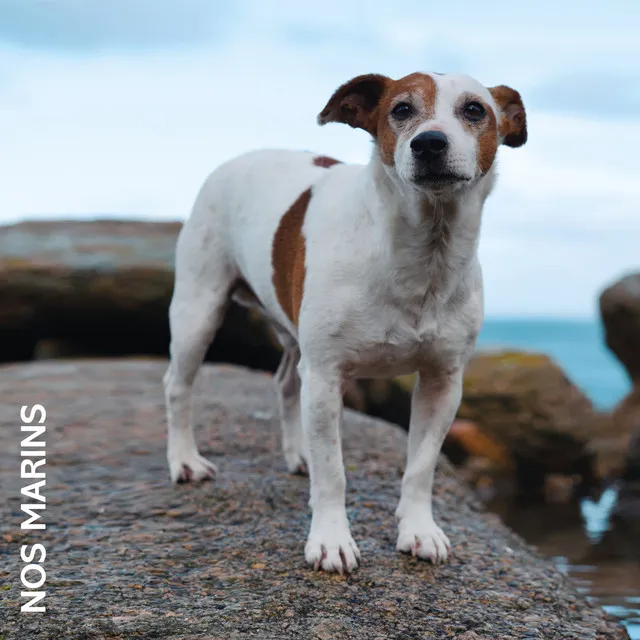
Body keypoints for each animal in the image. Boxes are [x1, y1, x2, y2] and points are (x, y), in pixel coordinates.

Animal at [162, 71, 528, 576]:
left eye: (475, 110)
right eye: (400, 109)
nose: (429, 143)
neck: (422, 253)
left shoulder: (443, 382)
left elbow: (421, 467)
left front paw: (419, 530)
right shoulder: (326, 375)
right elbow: (333, 471)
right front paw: (331, 540)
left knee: (284, 382)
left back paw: (298, 453)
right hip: (199, 308)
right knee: (178, 384)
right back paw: (185, 461)